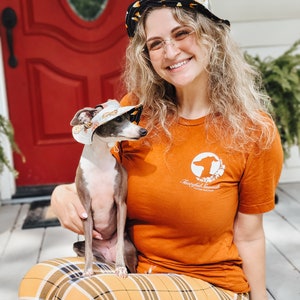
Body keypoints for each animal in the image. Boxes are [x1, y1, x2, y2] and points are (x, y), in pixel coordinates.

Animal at [69, 99, 146, 278]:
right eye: (118, 119)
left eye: (129, 118)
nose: (143, 131)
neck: (100, 162)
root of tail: (107, 250)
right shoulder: (85, 209)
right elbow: (88, 247)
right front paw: (88, 269)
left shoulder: (120, 204)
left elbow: (120, 244)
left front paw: (120, 268)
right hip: (81, 246)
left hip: (129, 249)